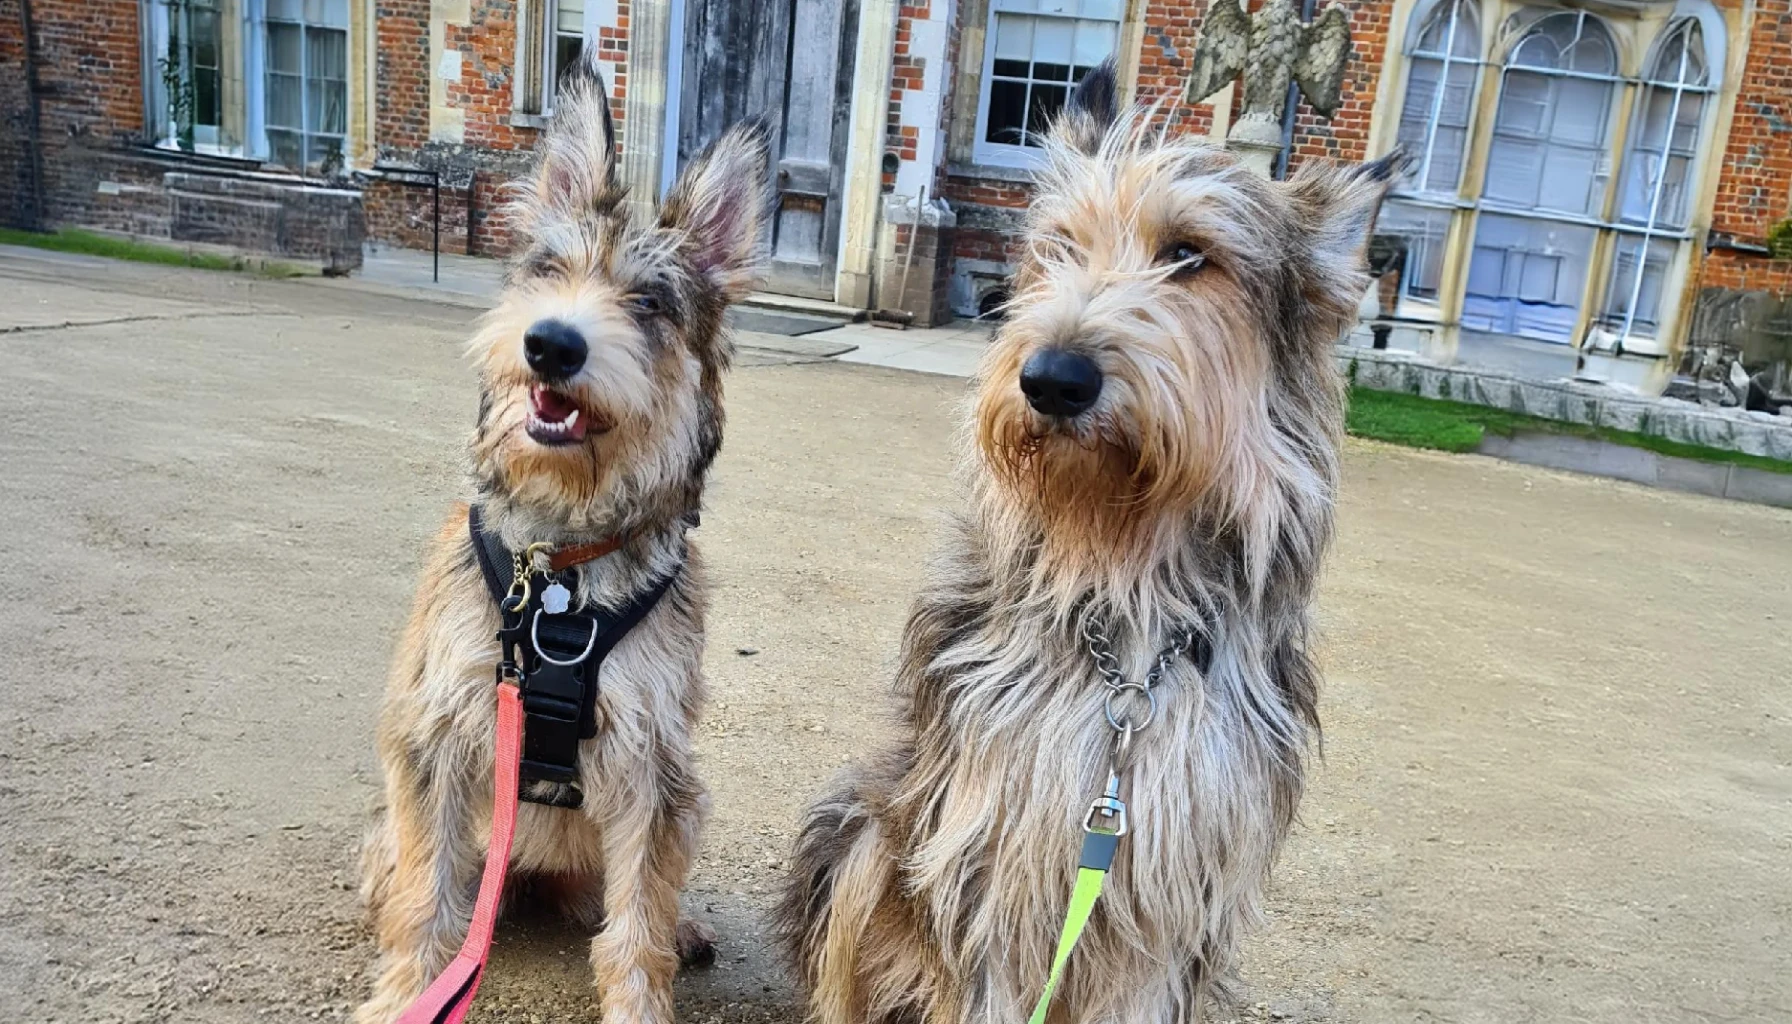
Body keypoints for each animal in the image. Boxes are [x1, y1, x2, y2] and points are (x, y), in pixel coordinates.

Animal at [353, 58, 766, 1024]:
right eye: (548, 270)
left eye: (648, 302)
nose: (551, 344)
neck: (561, 567)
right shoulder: (437, 735)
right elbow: (426, 899)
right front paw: (406, 996)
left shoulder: (654, 764)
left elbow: (636, 926)